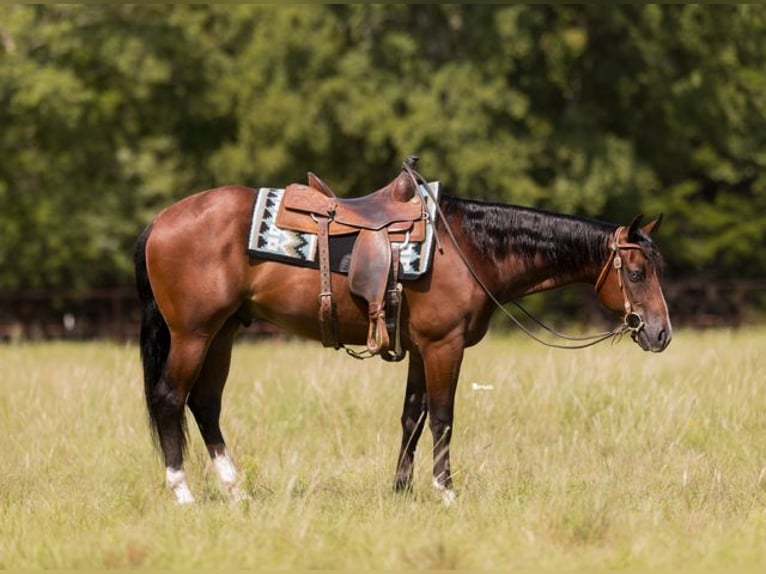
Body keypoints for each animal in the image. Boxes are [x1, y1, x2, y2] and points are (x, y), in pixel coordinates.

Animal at [134, 163, 672, 505]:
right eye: (637, 272)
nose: (661, 333)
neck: (468, 249)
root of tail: (161, 219)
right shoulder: (443, 346)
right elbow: (443, 418)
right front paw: (445, 491)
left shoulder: (418, 349)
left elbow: (412, 417)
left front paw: (401, 490)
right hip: (193, 333)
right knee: (169, 398)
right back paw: (182, 491)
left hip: (223, 332)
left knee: (205, 404)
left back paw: (234, 488)